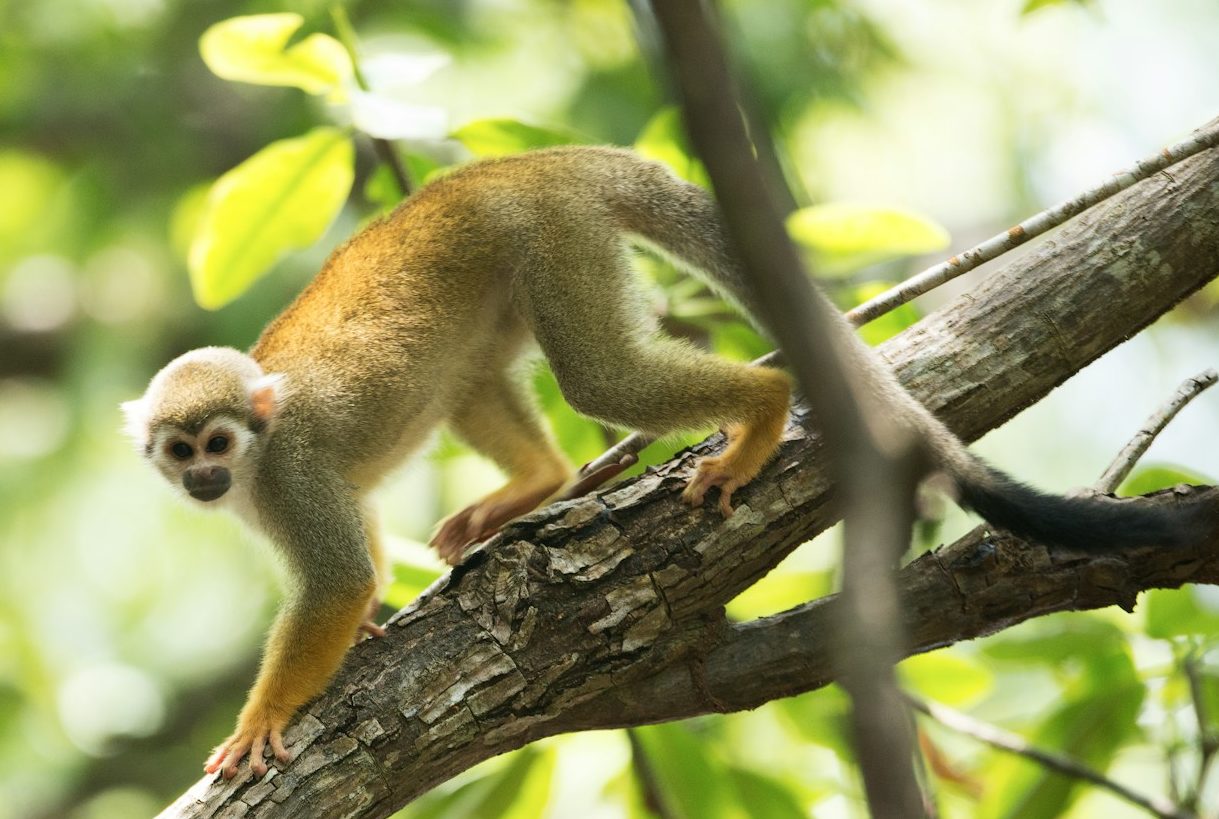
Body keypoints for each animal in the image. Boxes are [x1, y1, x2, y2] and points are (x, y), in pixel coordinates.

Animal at [122, 145, 1209, 779]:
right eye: (179, 452)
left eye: (218, 443)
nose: (201, 478)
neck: (257, 463)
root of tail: (525, 161)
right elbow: (360, 572)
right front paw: (368, 634)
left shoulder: (291, 472)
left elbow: (340, 578)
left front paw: (265, 716)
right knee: (479, 376)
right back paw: (539, 484)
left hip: (553, 237)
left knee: (598, 377)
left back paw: (761, 414)